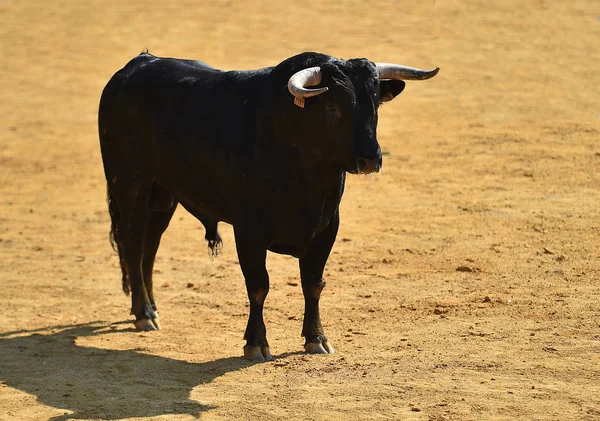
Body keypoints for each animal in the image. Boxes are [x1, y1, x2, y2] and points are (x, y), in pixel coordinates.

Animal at [97, 51, 436, 360]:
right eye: (332, 107)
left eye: (375, 104)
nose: (370, 160)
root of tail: (136, 65)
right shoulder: (249, 231)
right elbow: (258, 286)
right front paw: (256, 344)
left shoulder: (327, 227)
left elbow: (313, 284)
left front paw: (317, 339)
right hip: (129, 183)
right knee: (132, 242)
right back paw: (143, 313)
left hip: (162, 195)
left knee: (149, 246)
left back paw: (150, 308)